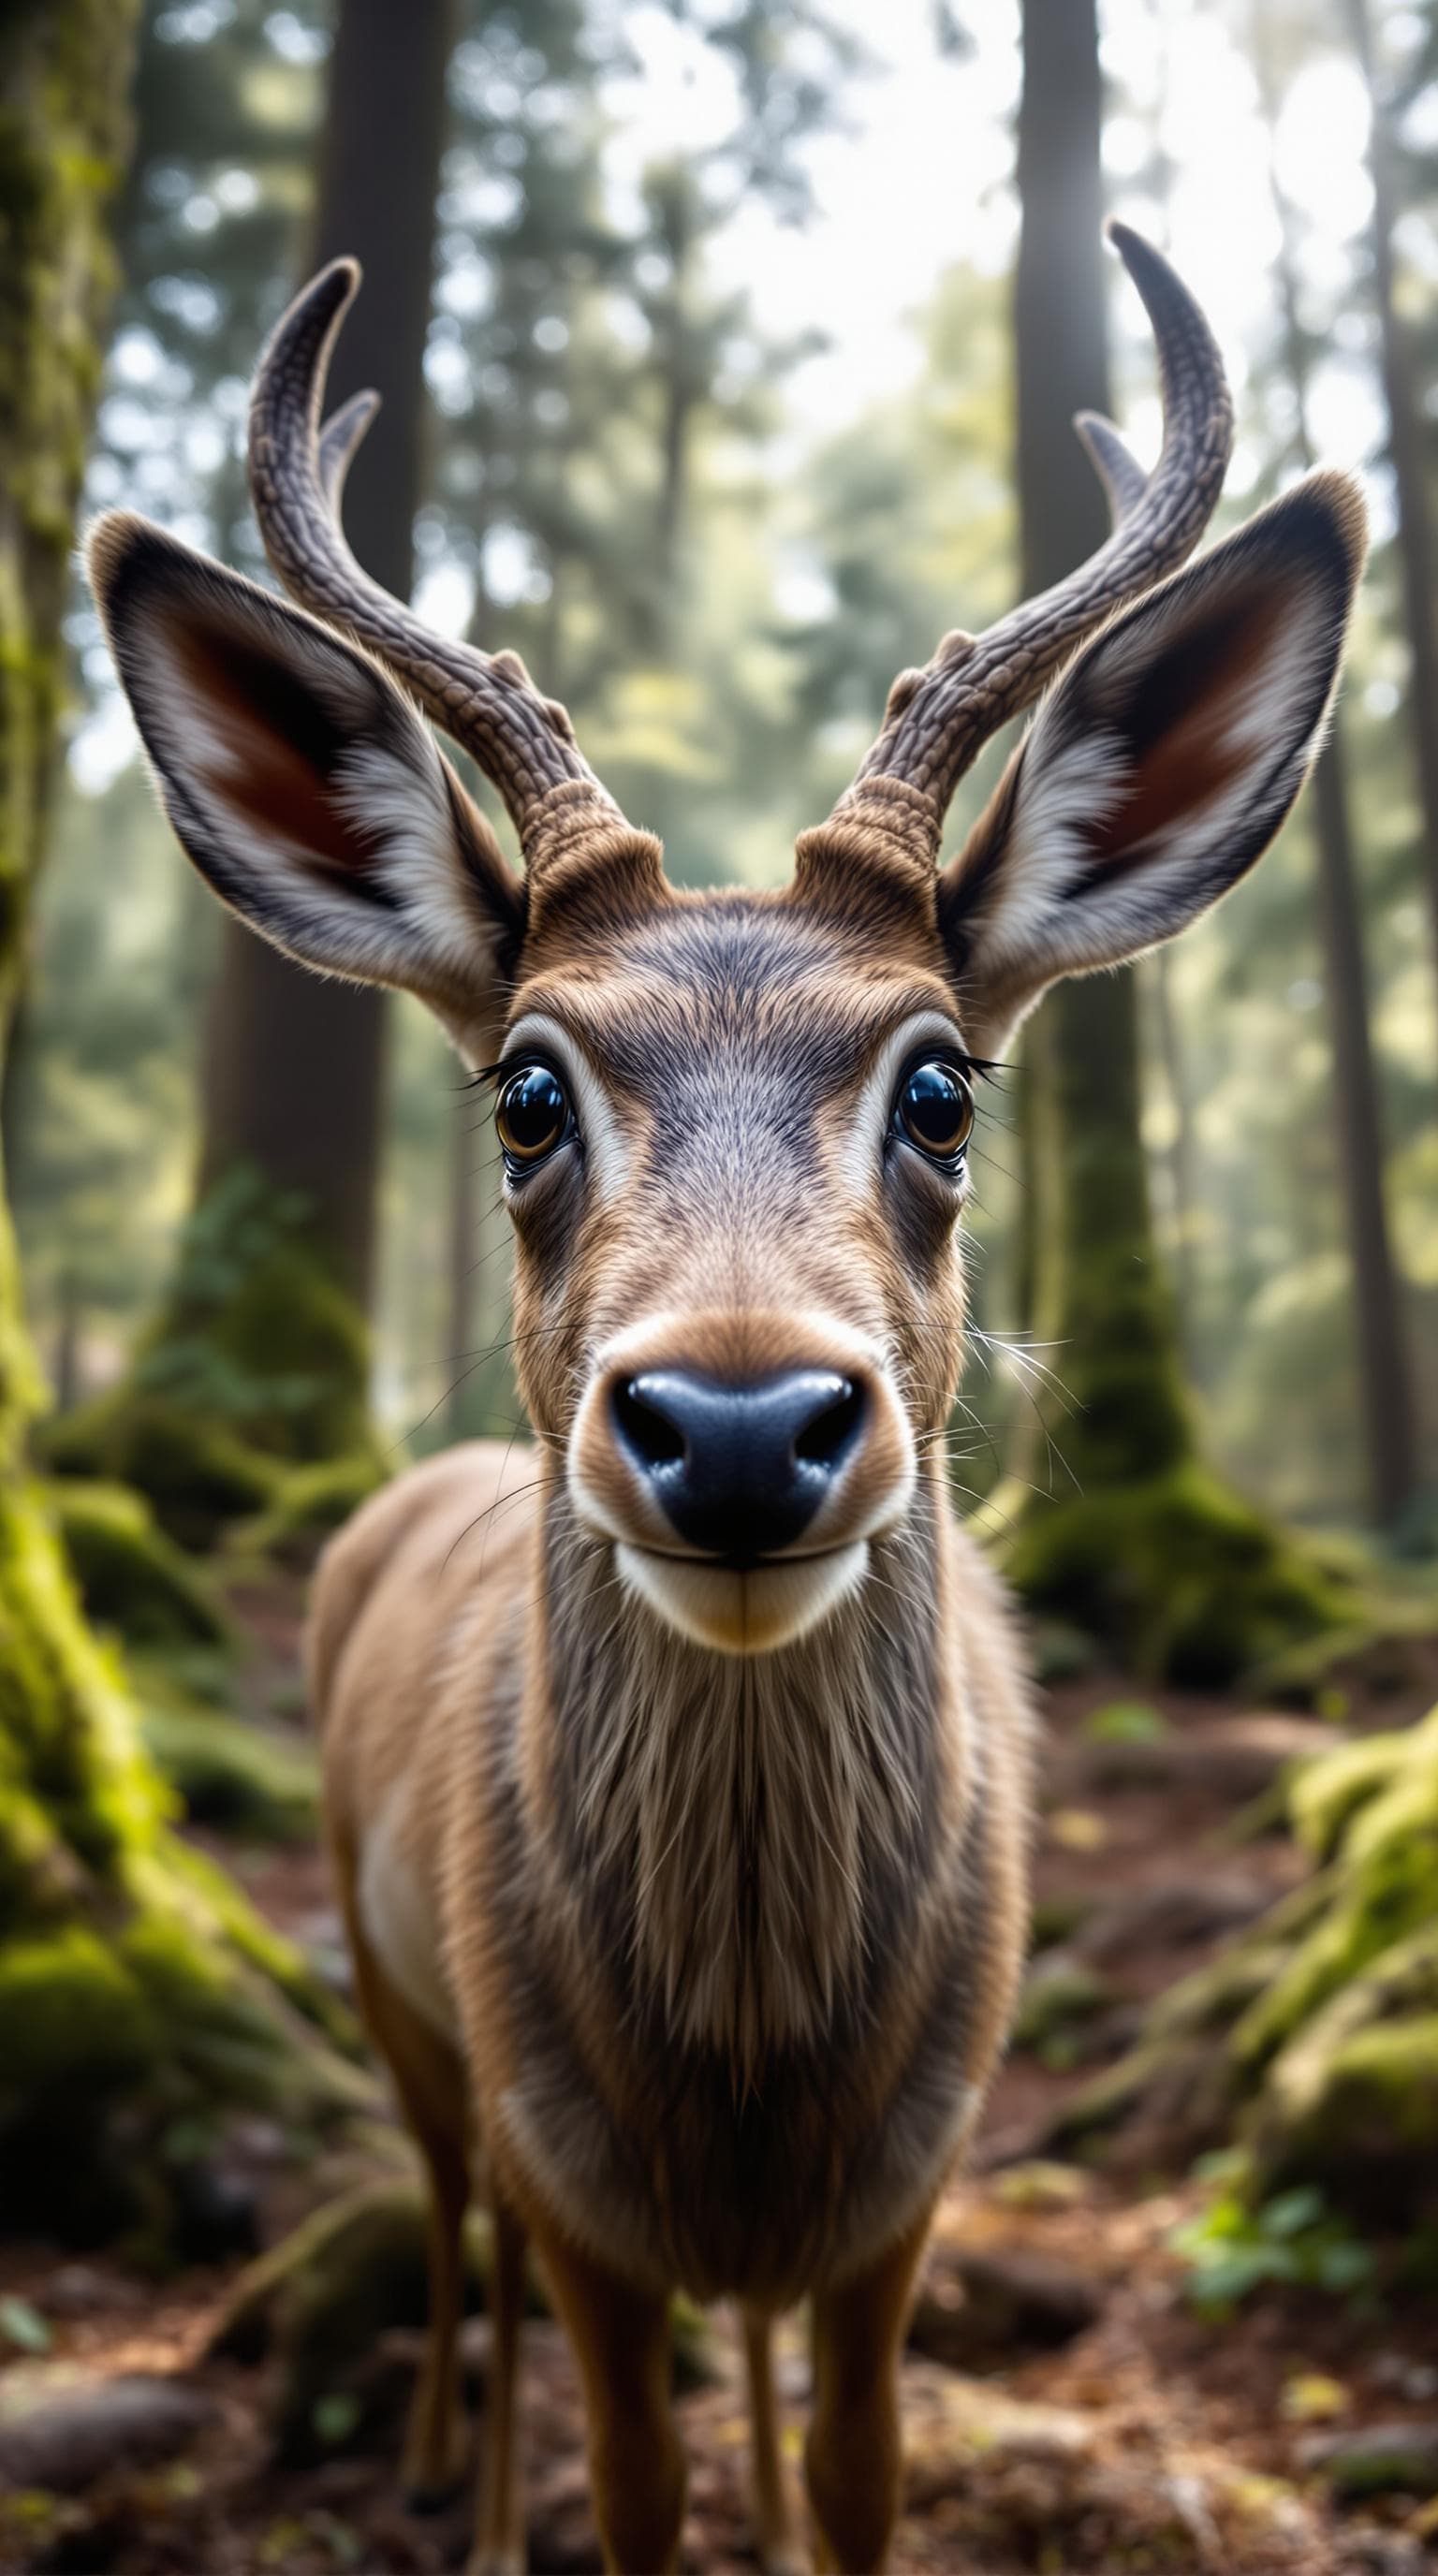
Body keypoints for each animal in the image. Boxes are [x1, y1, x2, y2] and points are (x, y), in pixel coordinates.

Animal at [88, 221, 1364, 2575]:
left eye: (941, 1082)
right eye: (525, 1088)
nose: (748, 1424)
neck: (749, 2072)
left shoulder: (918, 2174)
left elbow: (854, 2474)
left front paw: (794, 2501)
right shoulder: (559, 2142)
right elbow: (625, 2471)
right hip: (387, 1971)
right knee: (453, 2216)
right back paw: (448, 2473)